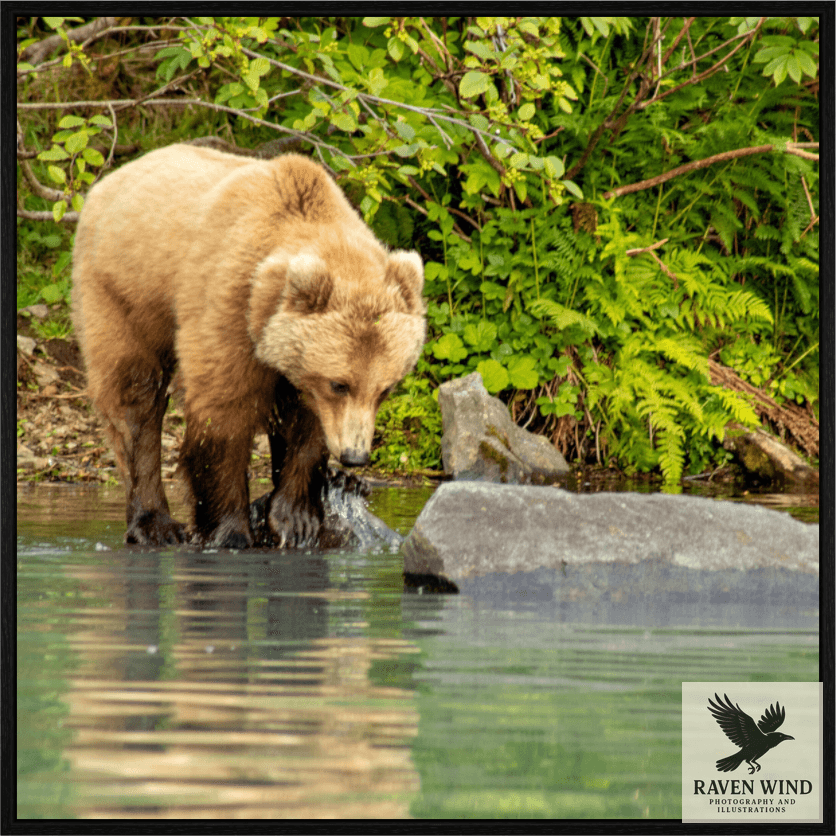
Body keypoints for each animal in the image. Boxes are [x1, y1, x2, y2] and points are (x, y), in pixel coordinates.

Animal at [71, 143, 426, 549]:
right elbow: (224, 411)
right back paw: (154, 523)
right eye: (340, 384)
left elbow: (304, 426)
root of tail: (112, 179)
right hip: (124, 289)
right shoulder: (229, 304)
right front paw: (229, 530)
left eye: (385, 389)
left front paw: (296, 519)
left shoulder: (296, 363)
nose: (354, 456)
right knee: (135, 395)